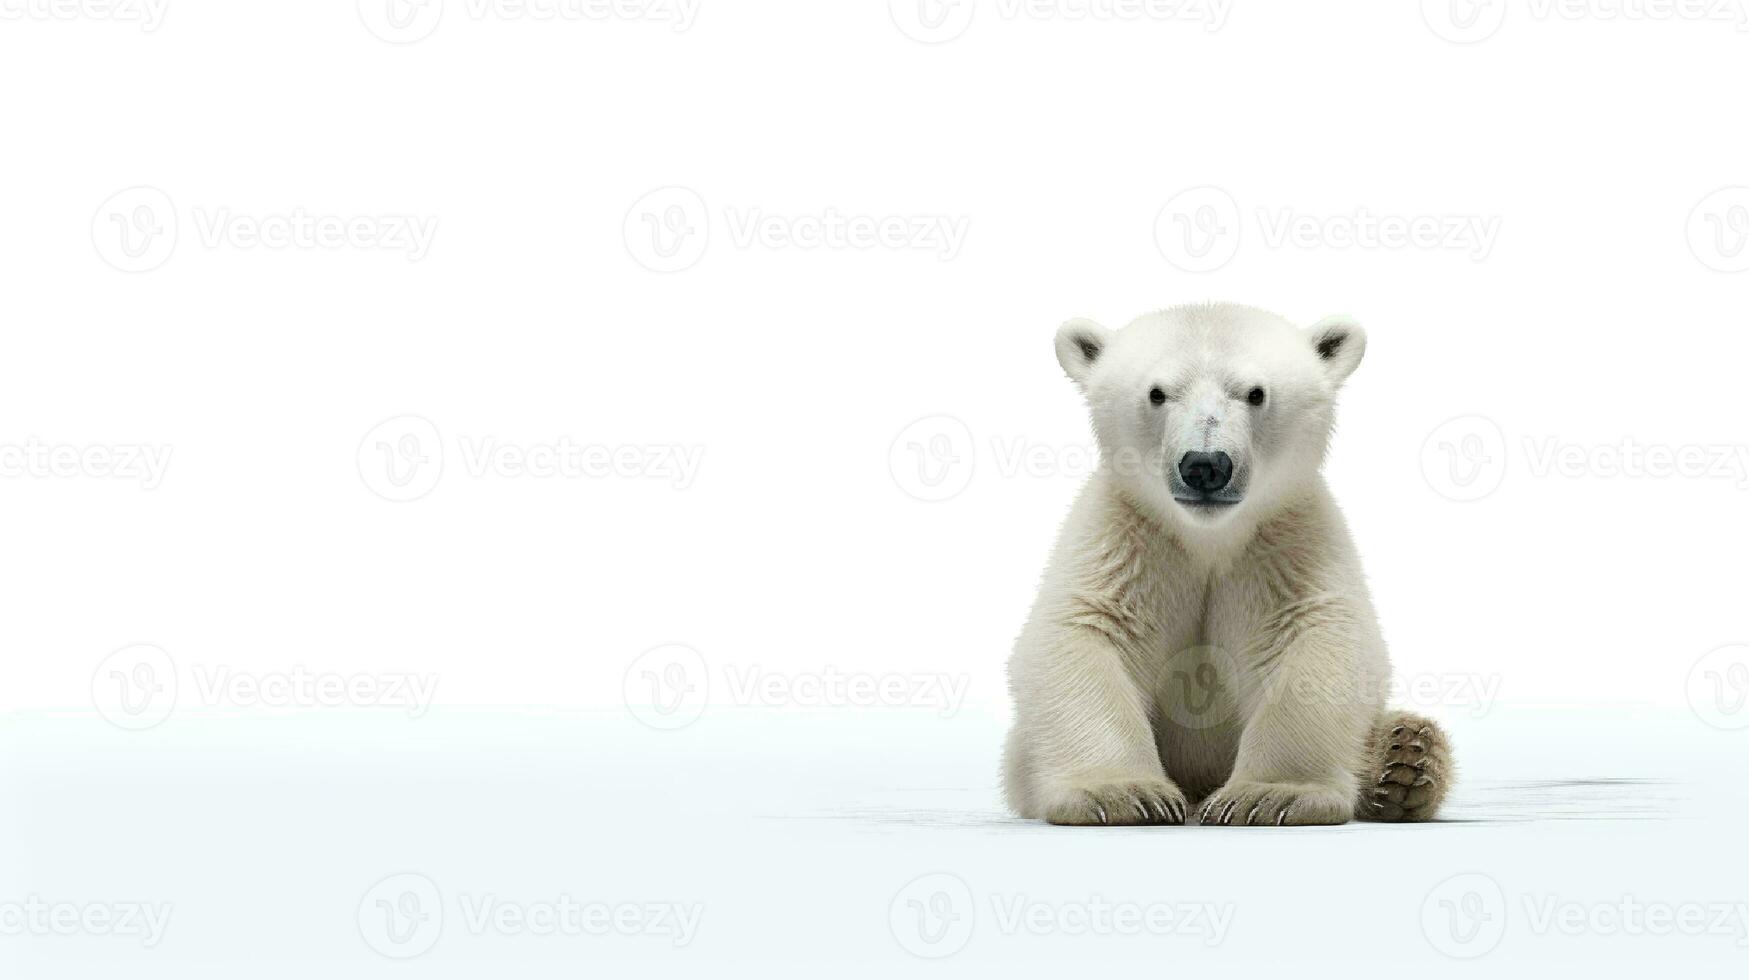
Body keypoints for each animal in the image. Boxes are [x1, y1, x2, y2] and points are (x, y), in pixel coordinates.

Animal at [1007, 302, 1455, 822]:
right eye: (1157, 393)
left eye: (1256, 393)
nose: (1205, 465)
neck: (1209, 538)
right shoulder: (1125, 539)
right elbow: (1078, 633)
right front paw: (1121, 794)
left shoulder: (1287, 544)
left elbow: (1319, 639)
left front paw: (1269, 795)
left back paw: (1404, 758)